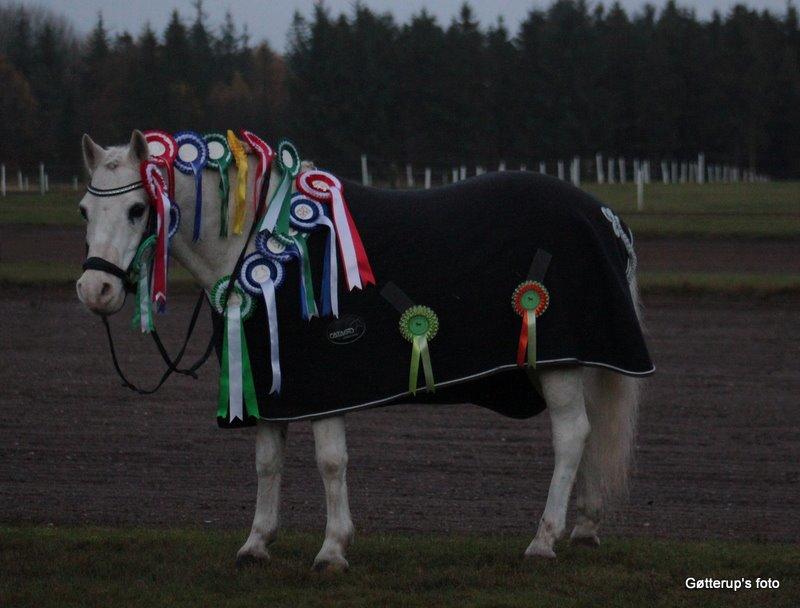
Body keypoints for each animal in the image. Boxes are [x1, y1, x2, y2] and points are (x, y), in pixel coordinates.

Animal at [76, 130, 649, 571]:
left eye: (137, 208)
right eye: (84, 209)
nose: (93, 291)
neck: (267, 245)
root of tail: (603, 215)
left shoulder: (325, 386)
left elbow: (331, 462)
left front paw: (332, 549)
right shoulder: (270, 389)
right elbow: (267, 464)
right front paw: (256, 544)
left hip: (559, 363)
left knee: (571, 437)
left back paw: (543, 539)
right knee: (590, 435)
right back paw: (585, 527)